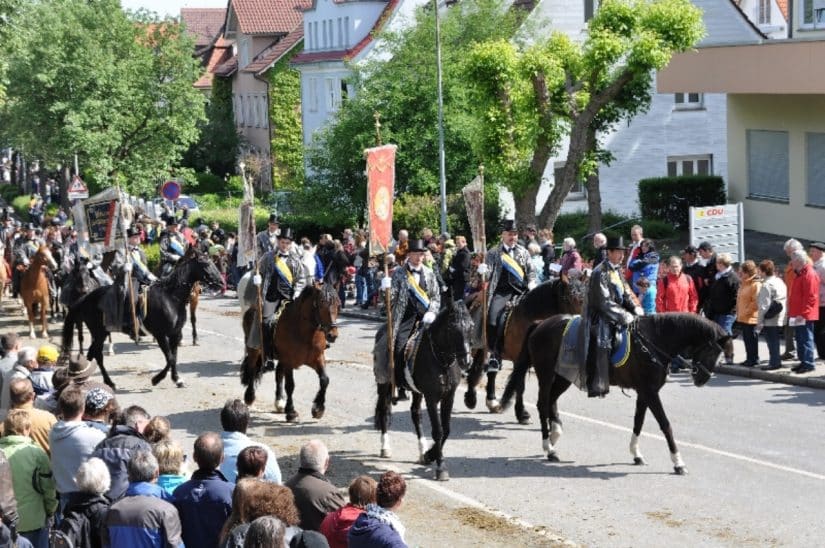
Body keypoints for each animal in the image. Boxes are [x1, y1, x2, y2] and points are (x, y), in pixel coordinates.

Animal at [62, 248, 222, 390]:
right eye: (206, 264)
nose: (221, 282)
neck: (171, 297)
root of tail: (86, 297)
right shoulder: (160, 334)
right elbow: (170, 358)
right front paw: (156, 379)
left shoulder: (174, 334)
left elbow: (174, 357)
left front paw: (177, 379)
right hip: (99, 332)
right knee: (97, 355)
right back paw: (109, 382)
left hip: (101, 332)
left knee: (92, 354)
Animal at [238, 280, 342, 422]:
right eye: (321, 303)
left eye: (338, 304)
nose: (333, 335)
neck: (305, 333)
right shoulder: (289, 361)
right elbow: (290, 385)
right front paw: (291, 412)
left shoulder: (317, 358)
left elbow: (324, 380)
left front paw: (318, 409)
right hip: (255, 349)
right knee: (253, 368)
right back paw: (250, 396)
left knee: (278, 374)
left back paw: (279, 402)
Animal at [374, 298, 474, 482]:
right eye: (452, 328)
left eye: (471, 326)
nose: (467, 361)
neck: (442, 361)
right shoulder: (431, 397)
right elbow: (438, 431)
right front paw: (441, 467)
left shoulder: (448, 396)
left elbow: (446, 429)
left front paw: (429, 455)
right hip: (384, 385)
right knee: (384, 411)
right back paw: (385, 447)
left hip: (416, 392)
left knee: (416, 415)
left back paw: (422, 450)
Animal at [464, 274, 584, 424]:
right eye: (568, 298)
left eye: (584, 297)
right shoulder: (519, 360)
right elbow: (520, 386)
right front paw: (522, 413)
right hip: (479, 346)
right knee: (475, 368)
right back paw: (471, 398)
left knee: (489, 371)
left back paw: (490, 401)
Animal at [498, 312, 732, 476]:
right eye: (712, 351)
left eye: (719, 354)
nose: (702, 379)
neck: (654, 340)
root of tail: (541, 324)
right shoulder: (650, 392)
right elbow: (665, 424)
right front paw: (678, 463)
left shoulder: (645, 392)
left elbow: (639, 421)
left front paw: (636, 454)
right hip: (546, 374)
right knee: (542, 403)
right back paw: (549, 447)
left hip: (564, 376)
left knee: (551, 402)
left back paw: (555, 436)